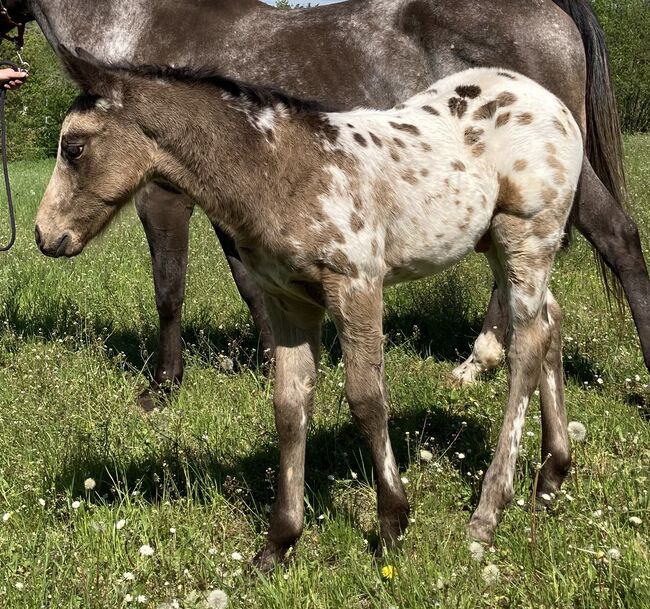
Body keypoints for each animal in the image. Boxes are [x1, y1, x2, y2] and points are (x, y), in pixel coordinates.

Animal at [2, 1, 644, 404]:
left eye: (74, 148)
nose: (43, 237)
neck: (138, 23)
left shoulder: (163, 198)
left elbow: (169, 287)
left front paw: (162, 387)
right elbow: (250, 283)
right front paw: (272, 361)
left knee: (617, 239)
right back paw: (474, 364)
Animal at [35, 50, 584, 568]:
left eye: (74, 147)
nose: (44, 235)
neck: (282, 170)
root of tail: (552, 102)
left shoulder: (357, 286)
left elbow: (366, 399)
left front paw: (393, 522)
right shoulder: (288, 303)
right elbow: (289, 407)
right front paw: (278, 544)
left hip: (526, 238)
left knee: (526, 350)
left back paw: (488, 513)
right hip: (495, 244)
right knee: (550, 323)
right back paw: (551, 476)